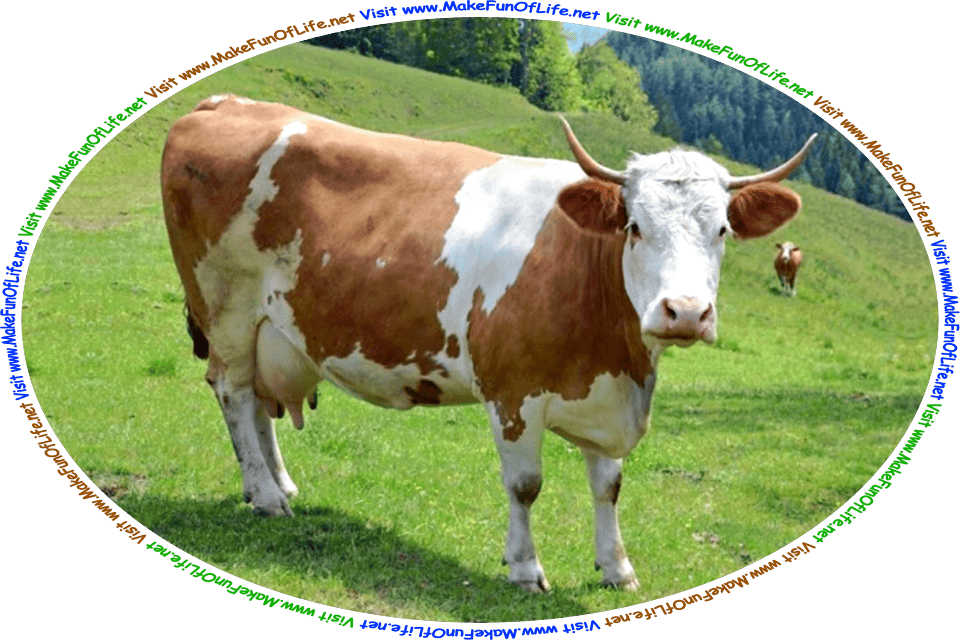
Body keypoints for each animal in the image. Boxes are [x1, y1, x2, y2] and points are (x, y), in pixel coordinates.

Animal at [161, 95, 815, 592]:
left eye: (722, 229)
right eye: (634, 226)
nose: (685, 312)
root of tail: (225, 103)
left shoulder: (604, 395)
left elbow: (608, 486)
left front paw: (617, 568)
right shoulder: (513, 392)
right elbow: (526, 486)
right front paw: (525, 568)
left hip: (268, 328)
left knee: (259, 403)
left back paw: (278, 484)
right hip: (226, 308)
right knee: (234, 393)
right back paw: (264, 494)